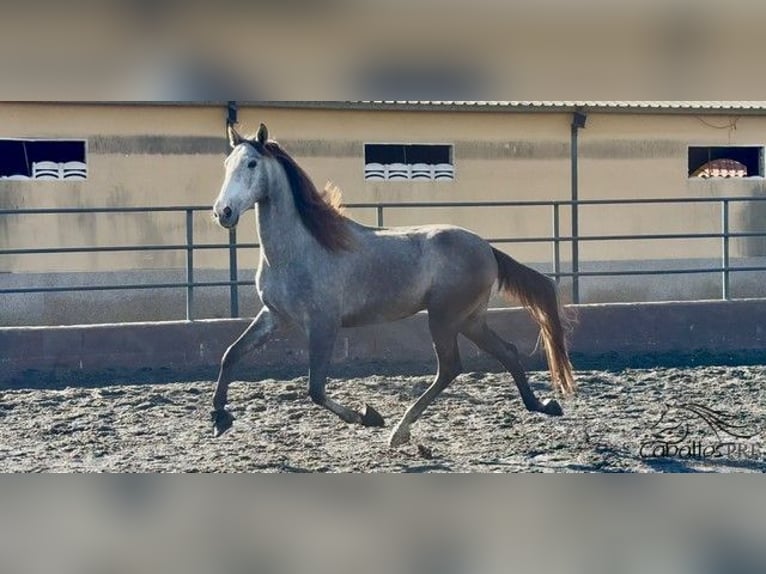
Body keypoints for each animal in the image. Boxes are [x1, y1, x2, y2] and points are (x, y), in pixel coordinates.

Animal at [210, 122, 576, 448]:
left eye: (252, 163)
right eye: (227, 164)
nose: (222, 212)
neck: (300, 248)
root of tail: (486, 247)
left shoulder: (323, 324)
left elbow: (315, 389)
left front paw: (368, 415)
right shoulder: (274, 316)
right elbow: (230, 354)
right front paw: (219, 418)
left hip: (444, 318)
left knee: (450, 367)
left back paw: (399, 431)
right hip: (469, 320)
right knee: (507, 352)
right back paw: (543, 405)